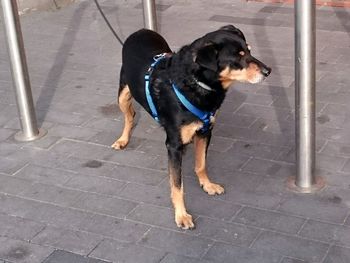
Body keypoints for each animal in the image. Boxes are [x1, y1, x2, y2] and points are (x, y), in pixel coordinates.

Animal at [112, 25, 270, 231]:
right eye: (238, 57)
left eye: (250, 51)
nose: (268, 71)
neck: (196, 83)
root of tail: (140, 31)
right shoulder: (174, 145)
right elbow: (177, 185)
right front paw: (181, 215)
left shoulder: (205, 131)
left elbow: (201, 164)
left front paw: (207, 185)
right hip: (123, 94)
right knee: (130, 116)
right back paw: (123, 140)